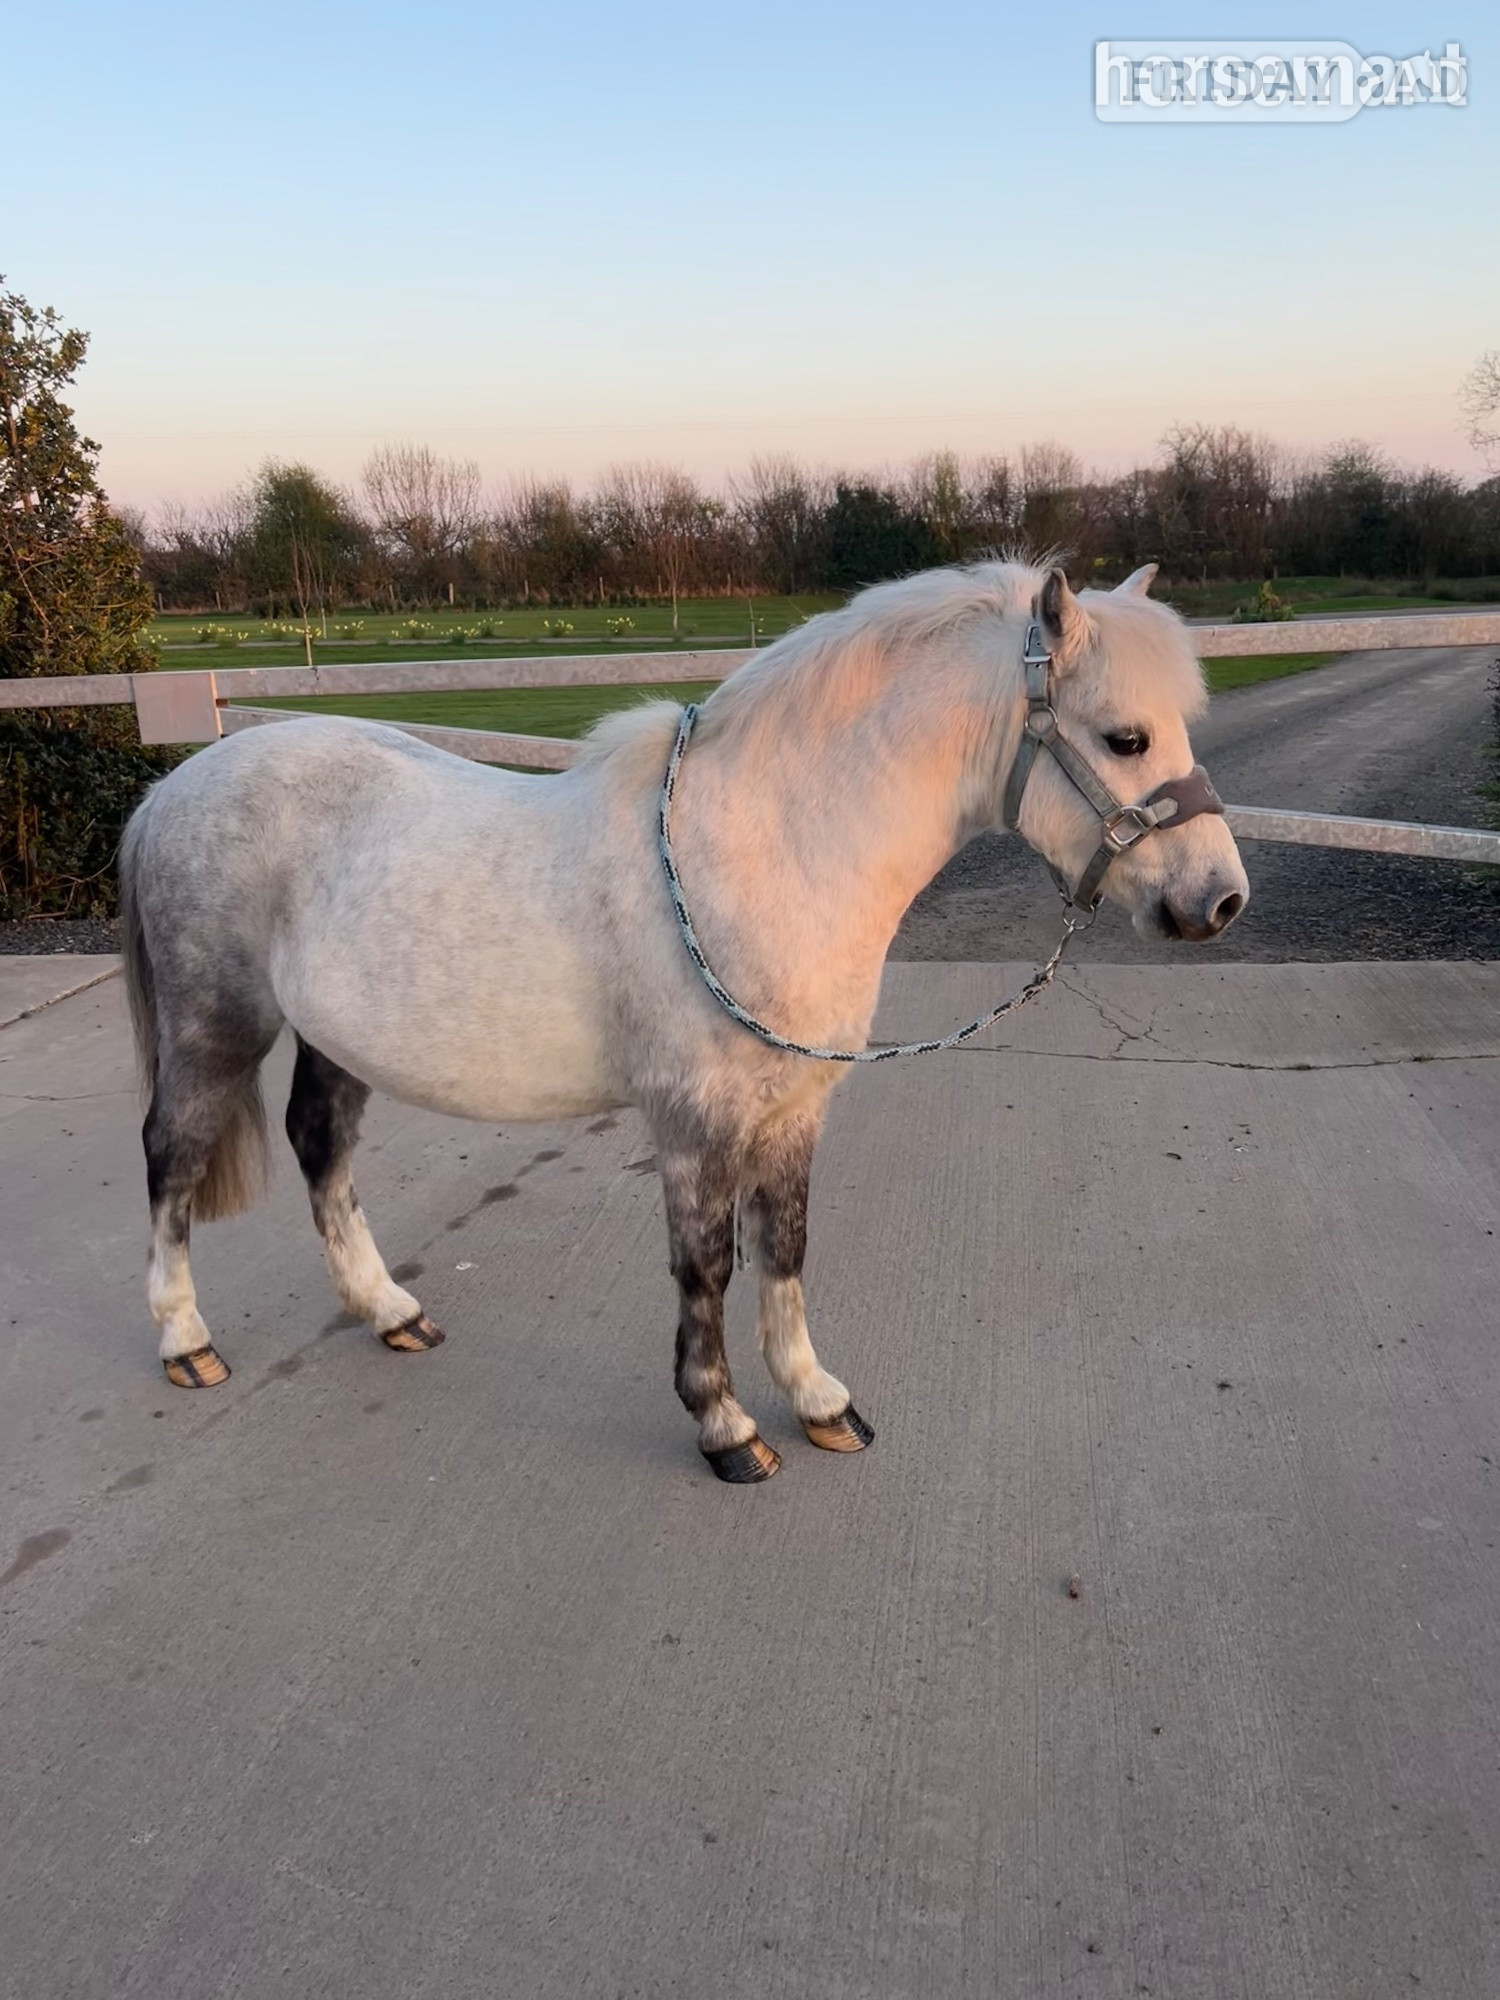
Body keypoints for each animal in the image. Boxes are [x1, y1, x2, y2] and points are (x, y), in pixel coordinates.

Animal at [118, 560, 1248, 1482]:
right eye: (1125, 736)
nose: (1219, 900)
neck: (767, 848)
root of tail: (174, 787)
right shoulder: (695, 1122)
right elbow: (707, 1265)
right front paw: (727, 1427)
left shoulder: (794, 1107)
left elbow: (784, 1247)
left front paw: (817, 1399)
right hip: (216, 1027)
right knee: (171, 1159)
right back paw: (185, 1341)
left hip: (333, 1037)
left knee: (320, 1145)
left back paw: (389, 1309)